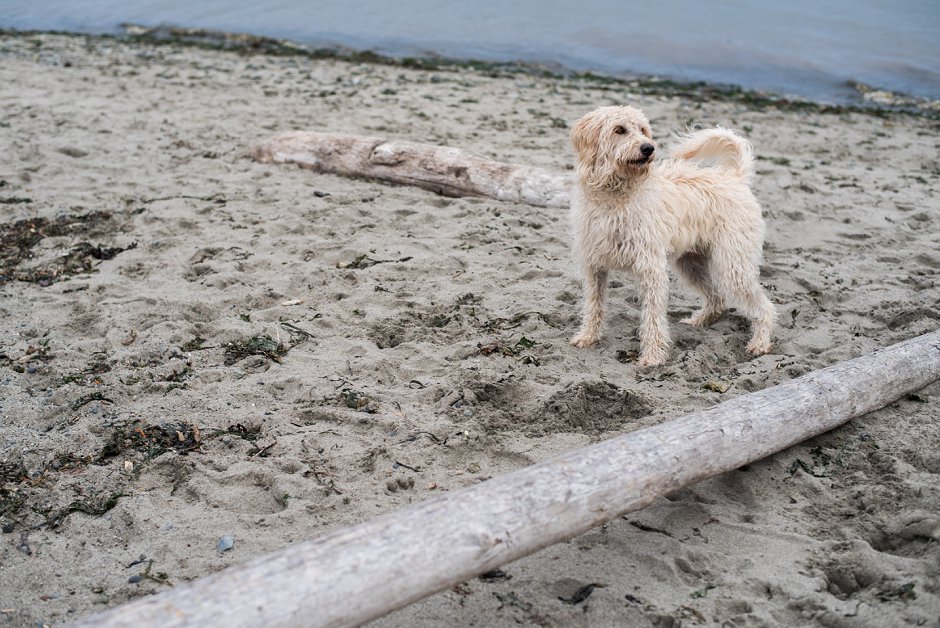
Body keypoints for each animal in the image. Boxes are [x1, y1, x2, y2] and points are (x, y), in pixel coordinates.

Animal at [564, 105, 780, 366]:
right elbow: (593, 305)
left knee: (763, 307)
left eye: (643, 129)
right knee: (717, 298)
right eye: (619, 130)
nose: (649, 148)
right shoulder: (594, 265)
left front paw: (653, 356)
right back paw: (700, 320)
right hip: (691, 264)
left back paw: (760, 343)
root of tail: (733, 177)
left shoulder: (650, 267)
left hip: (733, 264)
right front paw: (587, 336)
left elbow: (652, 316)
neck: (616, 195)